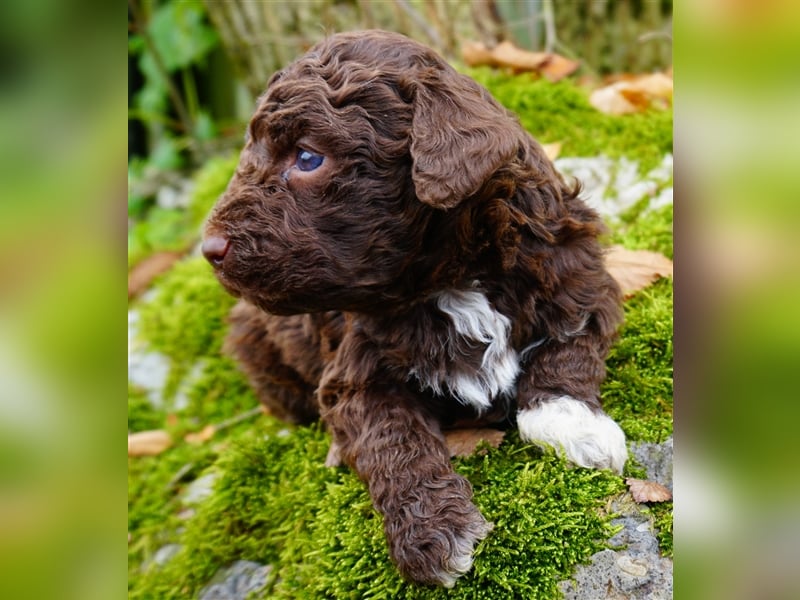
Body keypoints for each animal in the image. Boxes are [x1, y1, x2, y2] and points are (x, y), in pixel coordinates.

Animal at [203, 30, 628, 588]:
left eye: (307, 157)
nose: (208, 249)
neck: (453, 277)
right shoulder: (355, 372)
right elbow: (392, 438)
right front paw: (432, 533)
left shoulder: (580, 281)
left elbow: (567, 351)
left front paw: (576, 427)